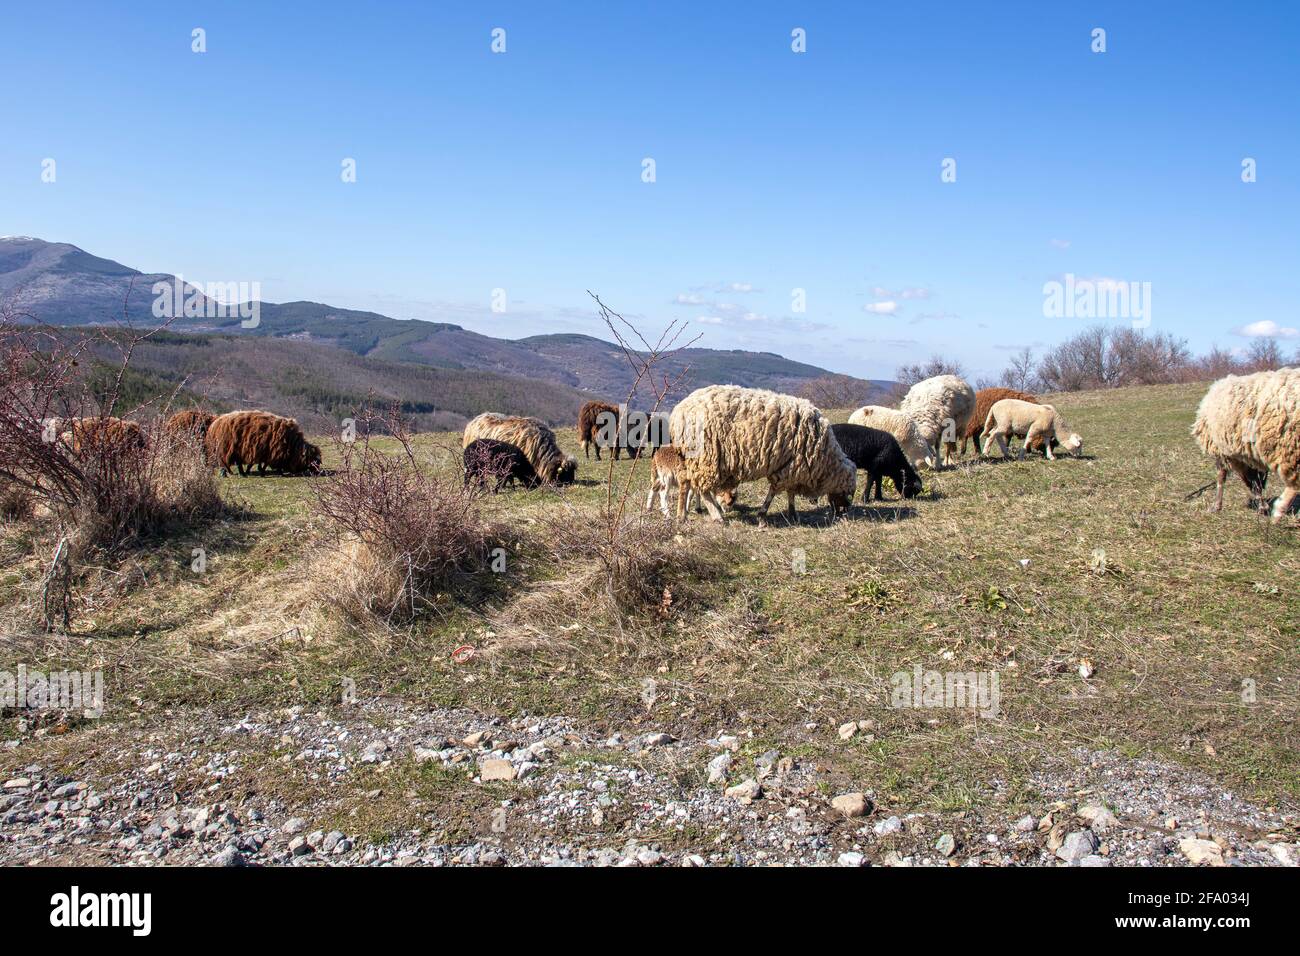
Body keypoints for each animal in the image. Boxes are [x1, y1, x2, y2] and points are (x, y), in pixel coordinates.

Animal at [665, 382, 857, 522]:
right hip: (706, 456)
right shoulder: (791, 467)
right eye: (849, 492)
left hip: (692, 457)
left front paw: (792, 513)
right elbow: (775, 491)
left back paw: (683, 514)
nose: (844, 515)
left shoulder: (791, 469)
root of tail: (679, 412)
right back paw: (716, 516)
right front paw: (763, 514)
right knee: (702, 488)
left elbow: (789, 492)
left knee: (687, 482)